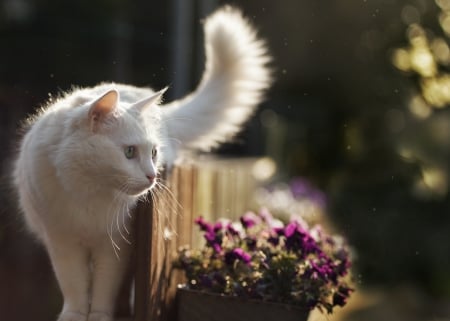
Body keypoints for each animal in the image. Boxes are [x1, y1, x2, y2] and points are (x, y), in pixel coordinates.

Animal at [11, 6, 270, 320]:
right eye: (130, 152)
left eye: (153, 153)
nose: (151, 176)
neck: (88, 191)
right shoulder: (63, 242)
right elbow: (74, 288)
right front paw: (74, 315)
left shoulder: (116, 248)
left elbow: (104, 290)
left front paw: (99, 316)